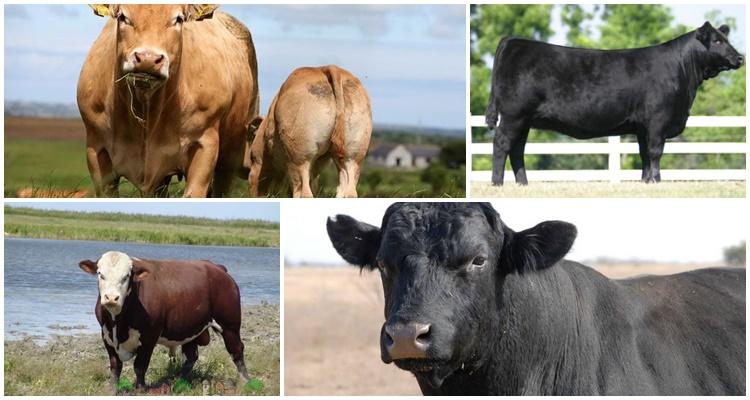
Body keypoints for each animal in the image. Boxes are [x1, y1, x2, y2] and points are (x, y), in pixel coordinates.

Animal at [77, 4, 259, 197]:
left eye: (178, 19)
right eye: (123, 17)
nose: (148, 59)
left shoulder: (205, 145)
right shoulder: (96, 149)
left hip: (231, 155)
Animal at [79, 251, 250, 393]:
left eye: (126, 276)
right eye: (100, 274)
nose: (111, 298)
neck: (118, 324)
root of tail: (216, 267)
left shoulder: (149, 336)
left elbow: (139, 366)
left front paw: (140, 389)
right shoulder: (106, 335)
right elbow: (115, 367)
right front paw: (112, 390)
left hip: (229, 325)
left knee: (236, 350)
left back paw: (245, 381)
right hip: (190, 328)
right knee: (191, 356)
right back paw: (179, 382)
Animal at [246, 65, 372, 198]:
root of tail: (328, 68)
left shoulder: (258, 163)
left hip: (299, 159)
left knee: (304, 192)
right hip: (352, 157)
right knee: (348, 191)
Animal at [485, 21, 744, 185]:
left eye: (726, 39)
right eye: (717, 41)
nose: (740, 58)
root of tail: (513, 41)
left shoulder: (642, 126)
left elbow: (644, 154)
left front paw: (646, 182)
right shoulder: (658, 120)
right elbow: (655, 152)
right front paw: (657, 180)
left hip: (525, 120)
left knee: (517, 149)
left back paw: (523, 184)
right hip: (514, 116)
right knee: (502, 144)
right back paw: (497, 183)